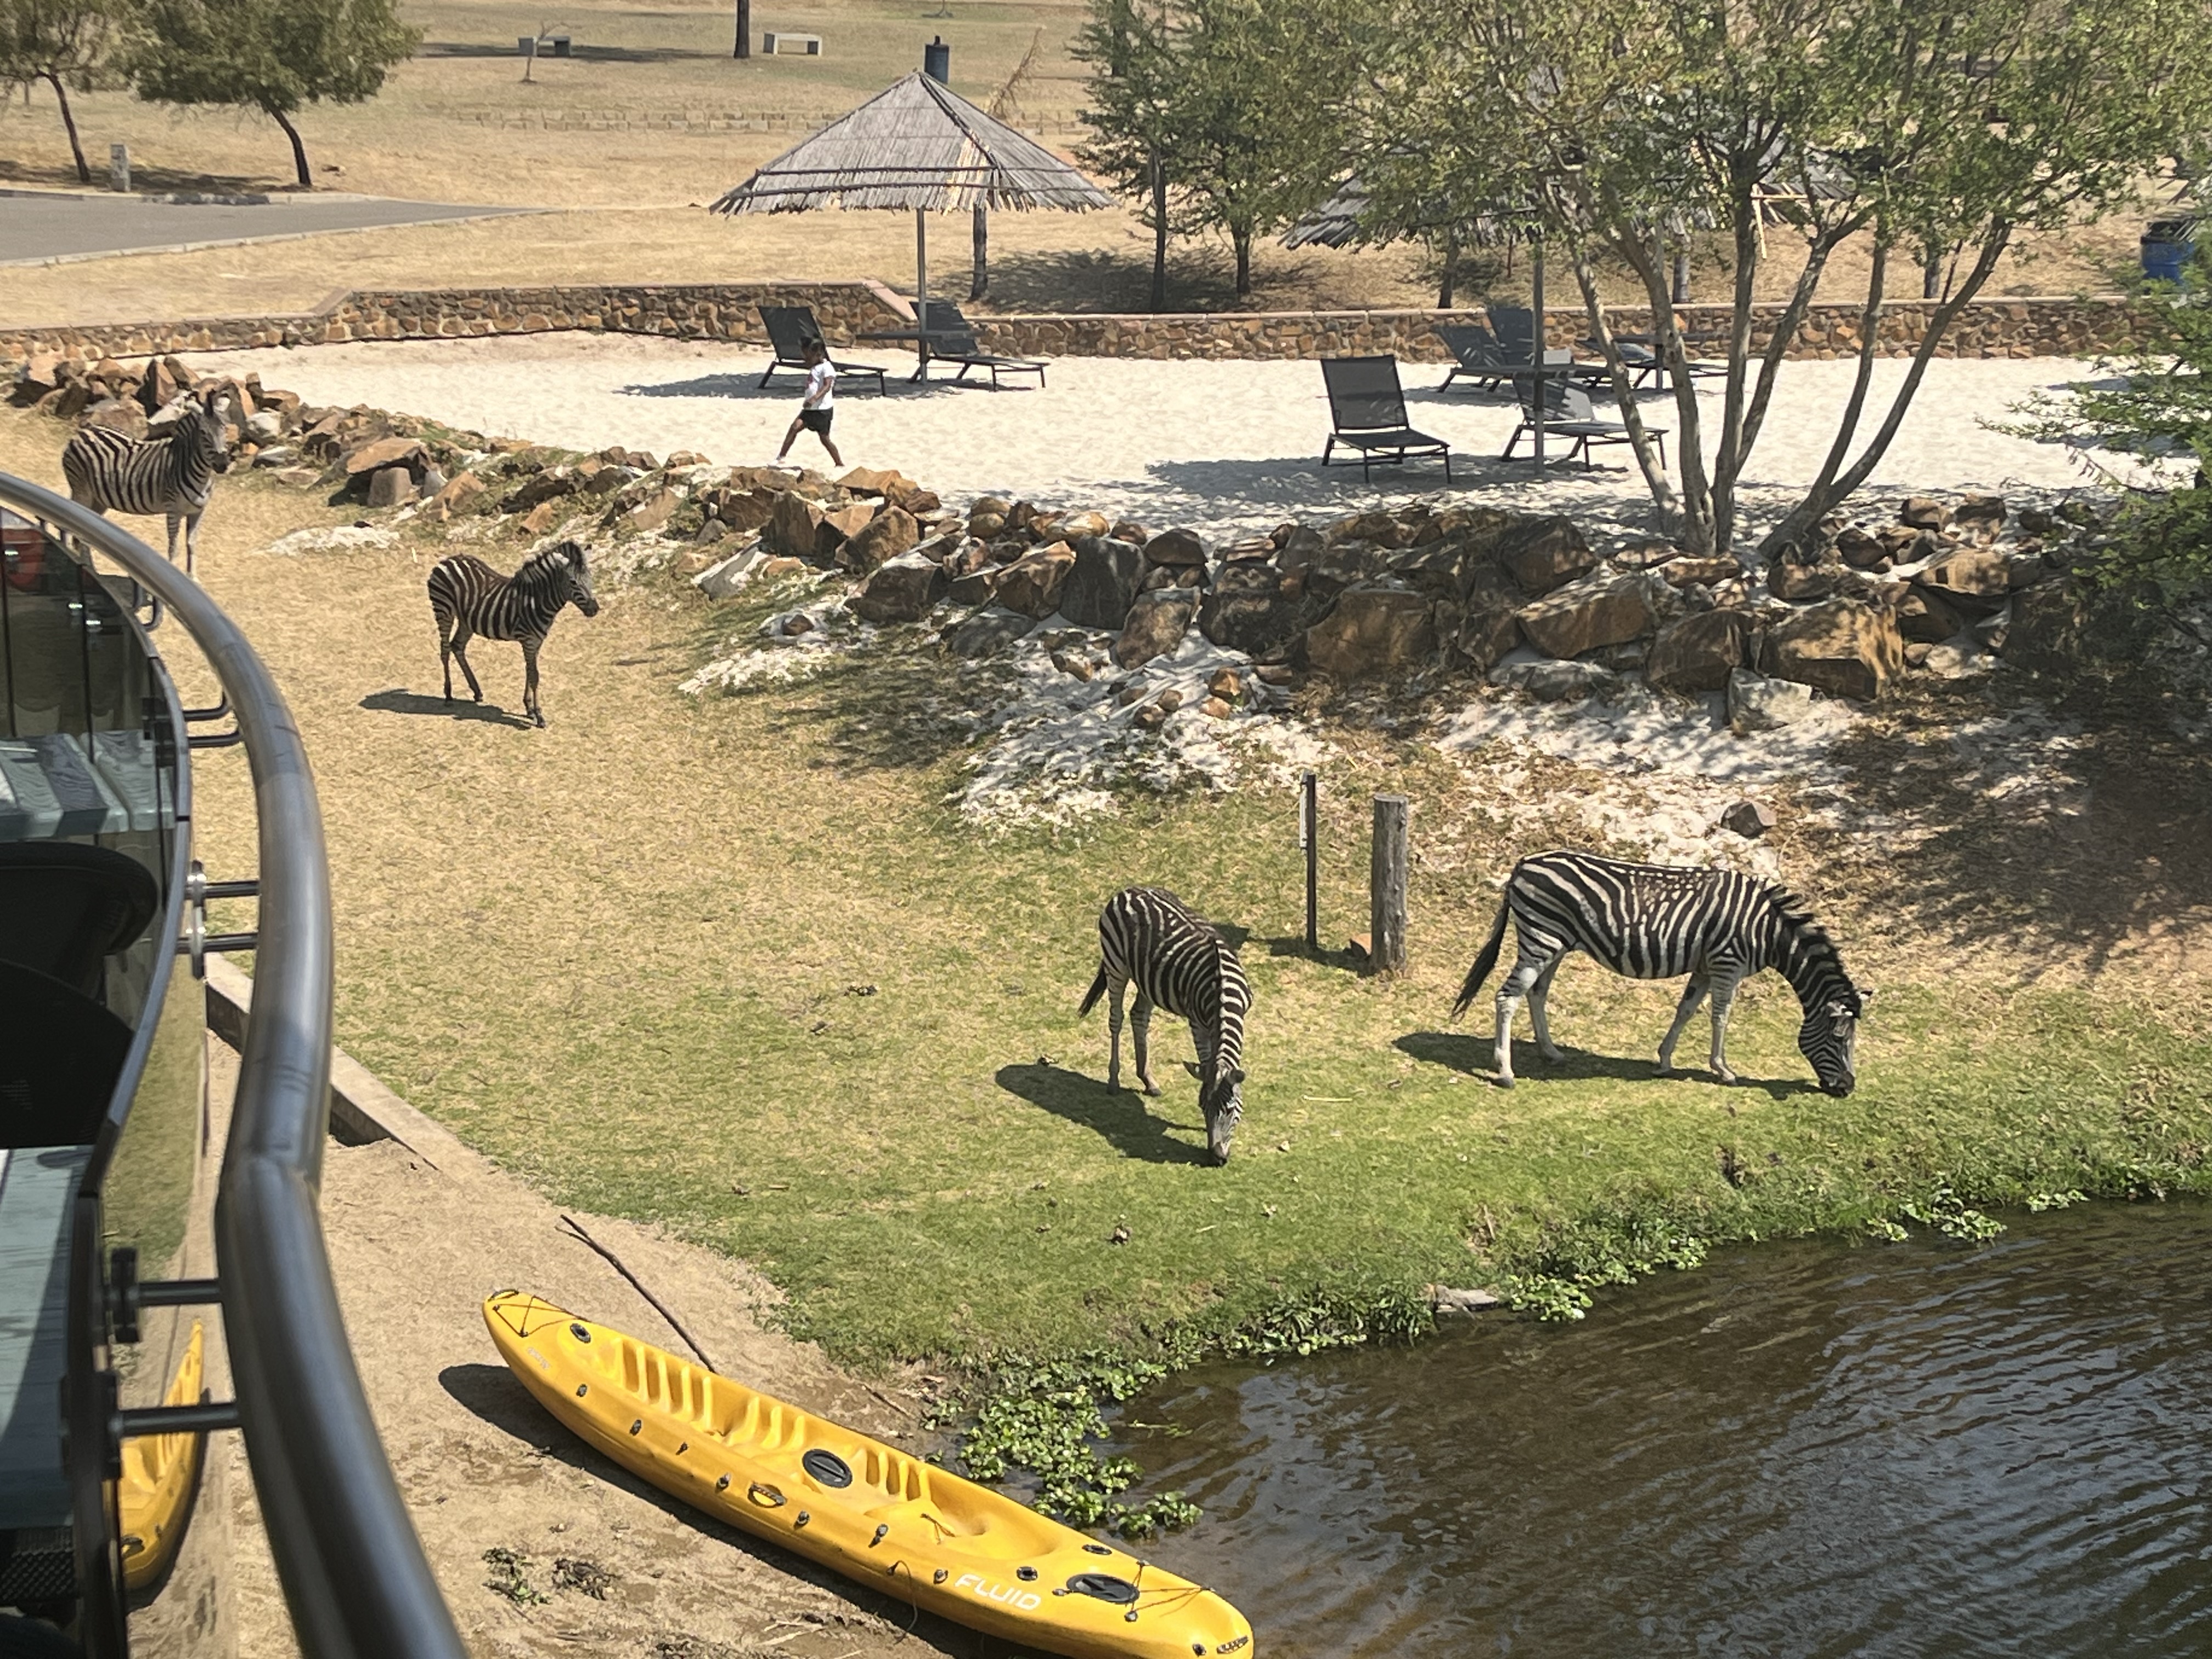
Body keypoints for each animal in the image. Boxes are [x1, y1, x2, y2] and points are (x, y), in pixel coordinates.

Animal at [61, 393, 232, 575]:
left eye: (225, 430)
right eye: (203, 433)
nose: (223, 465)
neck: (200, 475)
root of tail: (83, 432)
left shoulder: (198, 511)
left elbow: (191, 545)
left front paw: (193, 578)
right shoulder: (173, 510)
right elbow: (174, 547)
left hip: (99, 499)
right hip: (83, 491)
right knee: (73, 523)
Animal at [427, 541, 601, 730]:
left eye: (590, 579)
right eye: (573, 582)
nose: (594, 609)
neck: (537, 600)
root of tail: (448, 560)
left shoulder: (537, 641)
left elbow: (529, 672)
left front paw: (529, 709)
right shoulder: (529, 641)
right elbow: (534, 676)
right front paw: (539, 716)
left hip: (467, 621)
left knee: (457, 646)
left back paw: (477, 691)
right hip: (444, 610)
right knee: (445, 650)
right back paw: (448, 694)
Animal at [1079, 884, 1256, 1167]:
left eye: (1229, 1110)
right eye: (1202, 1108)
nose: (1216, 1159)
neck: (1222, 991)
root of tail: (1127, 890)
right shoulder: (1197, 1022)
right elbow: (1206, 1061)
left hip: (1147, 978)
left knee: (1139, 1016)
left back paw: (1148, 1080)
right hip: (1116, 964)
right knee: (1116, 1019)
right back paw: (1113, 1081)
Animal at [1451, 858, 1867, 1106]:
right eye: (1839, 1039)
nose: (1848, 1088)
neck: (1768, 931)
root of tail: (1524, 863)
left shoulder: (1704, 967)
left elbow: (1686, 1010)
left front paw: (1665, 1060)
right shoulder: (1726, 963)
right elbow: (1721, 1016)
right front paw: (1723, 1070)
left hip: (1556, 943)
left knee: (1536, 993)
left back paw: (1551, 1053)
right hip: (1541, 938)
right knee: (1507, 997)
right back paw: (1506, 1072)